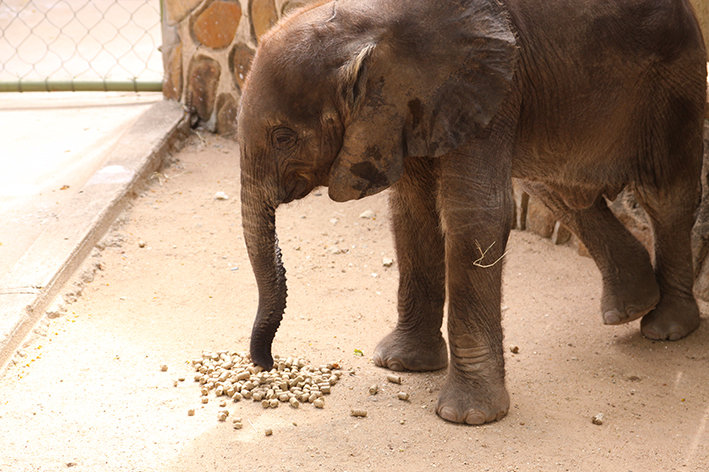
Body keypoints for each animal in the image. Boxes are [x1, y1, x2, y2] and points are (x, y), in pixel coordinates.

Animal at [237, 0, 707, 424]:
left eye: (283, 137)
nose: (266, 363)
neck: (371, 24)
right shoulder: (412, 113)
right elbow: (413, 210)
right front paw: (402, 365)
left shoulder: (487, 89)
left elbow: (474, 211)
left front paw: (468, 417)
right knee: (551, 187)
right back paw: (630, 307)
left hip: (674, 80)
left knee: (665, 193)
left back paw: (667, 328)